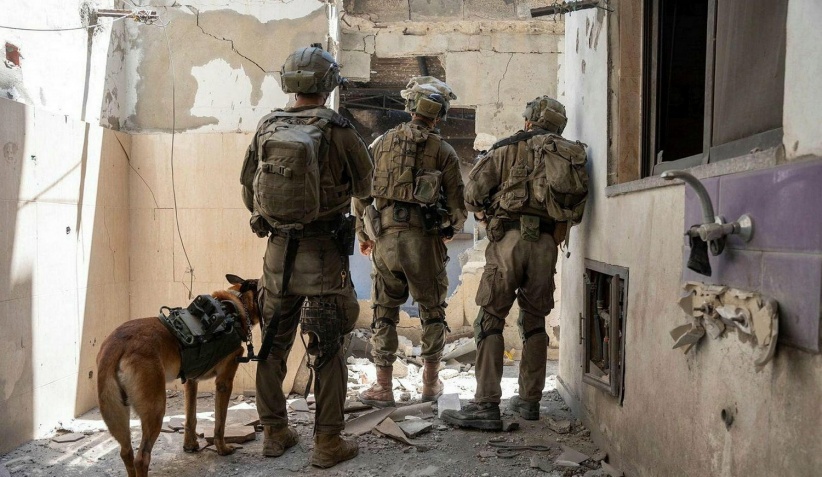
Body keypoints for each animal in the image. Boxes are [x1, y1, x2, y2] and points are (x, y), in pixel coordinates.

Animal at [96, 274, 261, 477]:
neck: (233, 307)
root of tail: (116, 343)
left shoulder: (191, 381)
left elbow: (190, 418)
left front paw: (190, 445)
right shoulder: (224, 382)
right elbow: (220, 423)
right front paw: (222, 449)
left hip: (118, 414)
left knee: (126, 452)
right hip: (156, 409)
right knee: (141, 458)